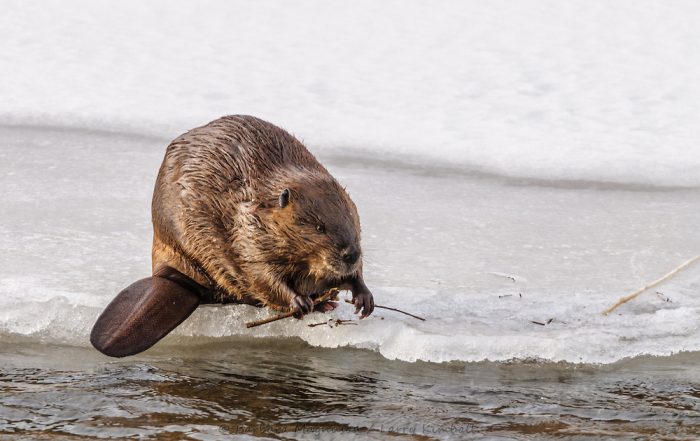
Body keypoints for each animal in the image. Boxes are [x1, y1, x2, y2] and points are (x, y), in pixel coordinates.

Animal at [90, 115, 374, 356]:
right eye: (319, 227)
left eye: (353, 220)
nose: (351, 254)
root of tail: (169, 277)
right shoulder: (247, 236)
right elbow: (261, 275)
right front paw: (300, 302)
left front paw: (364, 298)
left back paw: (328, 302)